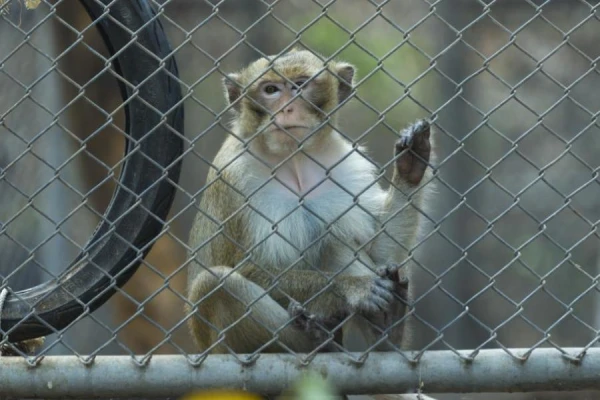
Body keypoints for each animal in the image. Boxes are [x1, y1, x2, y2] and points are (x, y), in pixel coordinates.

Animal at [185, 47, 434, 356]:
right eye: (270, 90)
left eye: (300, 85)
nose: (287, 108)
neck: (294, 159)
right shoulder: (232, 179)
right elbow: (243, 269)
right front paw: (351, 288)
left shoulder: (344, 164)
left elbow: (378, 252)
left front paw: (410, 167)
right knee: (216, 284)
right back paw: (316, 339)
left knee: (333, 239)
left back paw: (386, 328)